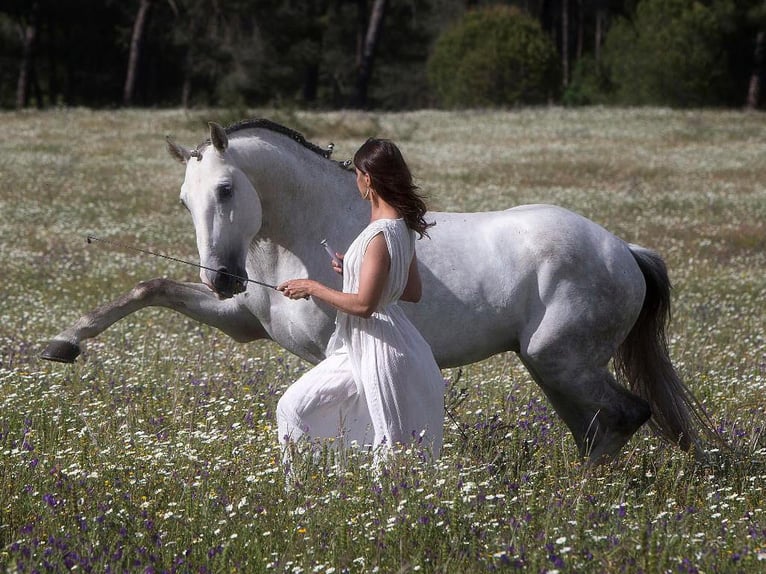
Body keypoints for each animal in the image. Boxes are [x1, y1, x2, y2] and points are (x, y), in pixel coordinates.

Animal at [43, 118, 720, 464]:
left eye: (227, 189)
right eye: (185, 200)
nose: (223, 278)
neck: (309, 228)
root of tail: (624, 251)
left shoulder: (329, 351)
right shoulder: (241, 322)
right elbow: (148, 286)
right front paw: (63, 344)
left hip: (559, 361)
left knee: (625, 416)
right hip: (553, 369)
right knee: (601, 427)